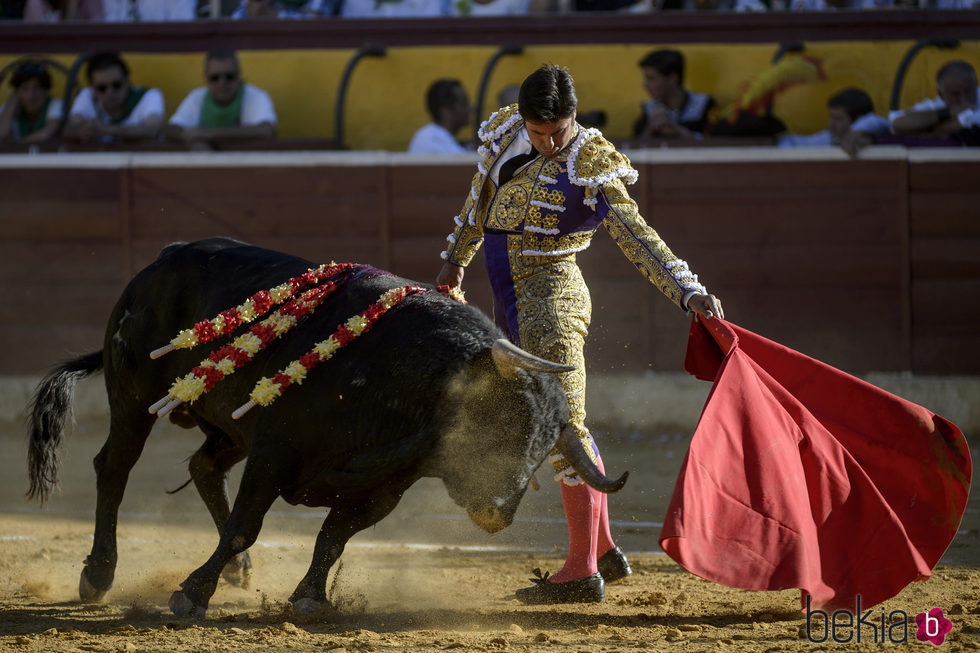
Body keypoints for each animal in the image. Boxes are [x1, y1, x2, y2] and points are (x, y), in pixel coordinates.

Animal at [28, 238, 628, 616]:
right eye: (505, 417)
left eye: (546, 444)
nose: (500, 511)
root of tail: (161, 260)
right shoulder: (273, 453)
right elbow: (248, 523)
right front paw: (191, 595)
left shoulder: (382, 488)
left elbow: (332, 538)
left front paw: (310, 598)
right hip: (133, 398)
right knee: (114, 469)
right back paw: (98, 575)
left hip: (228, 429)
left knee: (203, 467)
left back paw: (239, 572)